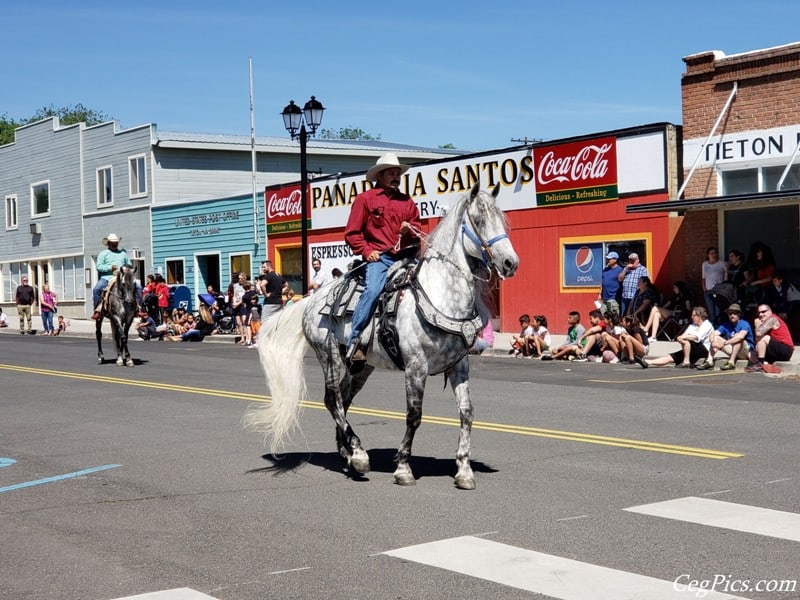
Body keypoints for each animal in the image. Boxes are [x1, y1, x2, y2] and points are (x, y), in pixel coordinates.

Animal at [244, 185, 520, 490]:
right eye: (479, 220)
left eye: (502, 220)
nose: (510, 262)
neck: (440, 296)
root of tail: (311, 298)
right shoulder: (415, 366)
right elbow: (414, 416)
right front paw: (403, 468)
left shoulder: (459, 365)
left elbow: (467, 412)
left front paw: (464, 470)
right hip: (329, 355)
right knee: (332, 399)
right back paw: (359, 455)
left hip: (362, 365)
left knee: (343, 399)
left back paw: (348, 453)